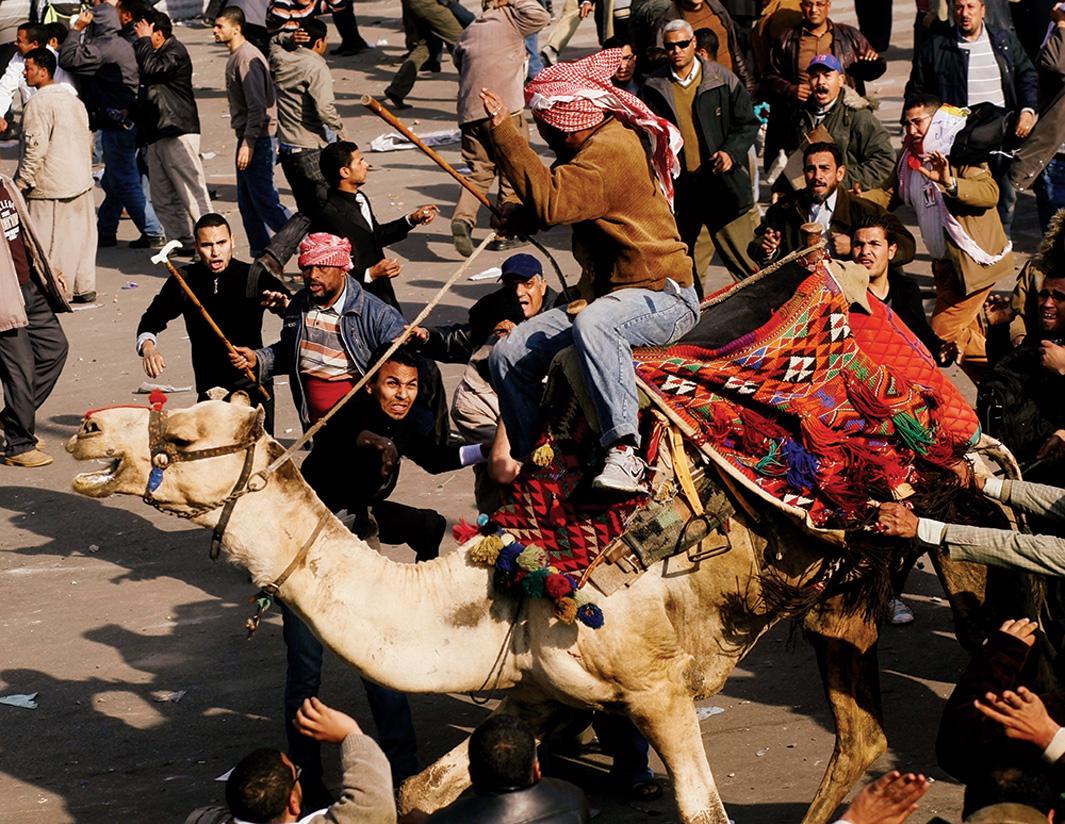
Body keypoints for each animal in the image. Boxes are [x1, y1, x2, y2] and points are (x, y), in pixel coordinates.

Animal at [62, 396, 996, 821]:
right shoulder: (542, 690)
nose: (88, 425)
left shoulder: (655, 689)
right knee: (860, 735)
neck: (495, 585)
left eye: (182, 436)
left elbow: (702, 809)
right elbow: (424, 789)